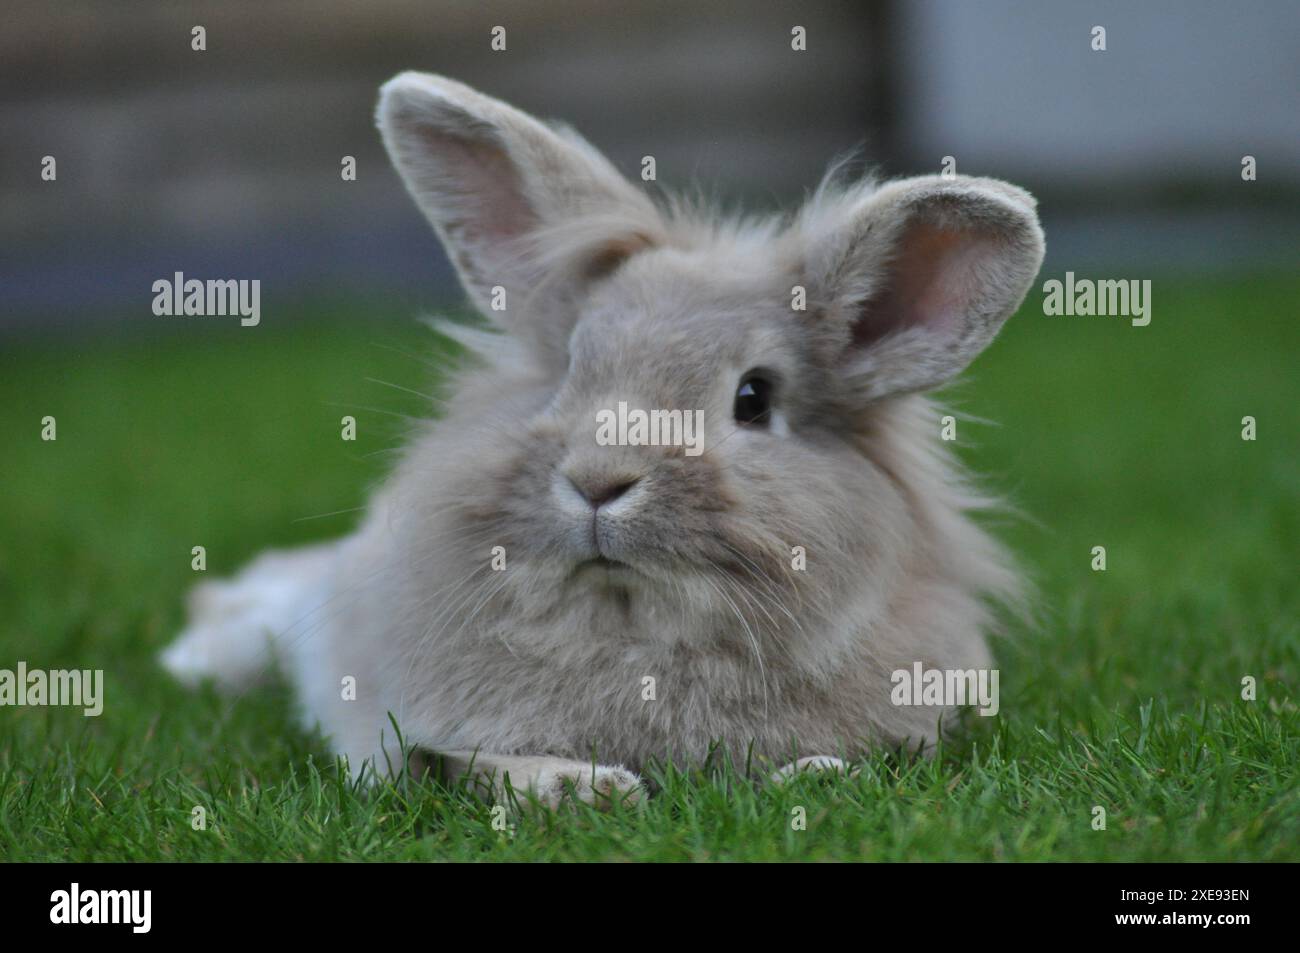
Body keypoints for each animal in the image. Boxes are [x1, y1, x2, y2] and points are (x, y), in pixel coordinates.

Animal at [159, 70, 1045, 806]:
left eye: (754, 399)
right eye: (570, 370)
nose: (597, 480)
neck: (631, 627)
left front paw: (819, 778)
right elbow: (465, 760)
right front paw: (583, 789)